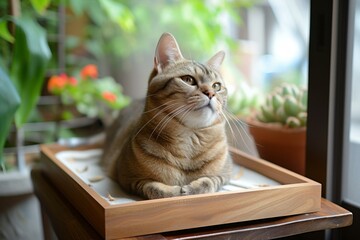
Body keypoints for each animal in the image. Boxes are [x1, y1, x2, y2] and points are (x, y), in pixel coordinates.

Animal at [102, 32, 231, 200]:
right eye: (188, 79)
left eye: (217, 86)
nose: (211, 93)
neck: (190, 136)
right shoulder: (127, 177)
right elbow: (154, 188)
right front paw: (174, 191)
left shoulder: (226, 173)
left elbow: (209, 181)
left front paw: (192, 188)